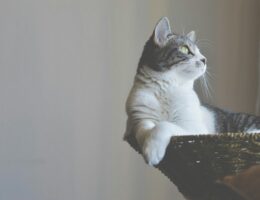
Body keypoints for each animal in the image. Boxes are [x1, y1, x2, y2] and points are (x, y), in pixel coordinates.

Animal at [123, 16, 260, 166]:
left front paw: (153, 151)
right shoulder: (139, 116)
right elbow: (143, 128)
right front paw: (147, 143)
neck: (166, 89)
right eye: (185, 49)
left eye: (199, 51)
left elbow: (164, 125)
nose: (204, 59)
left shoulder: (194, 130)